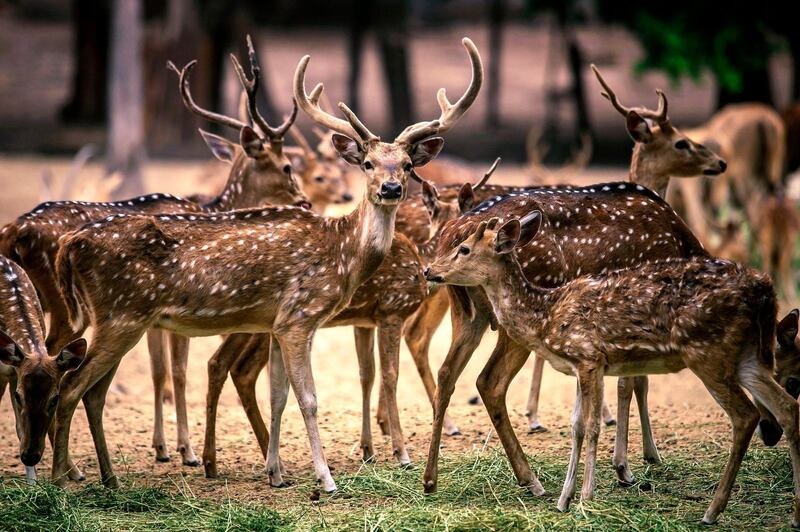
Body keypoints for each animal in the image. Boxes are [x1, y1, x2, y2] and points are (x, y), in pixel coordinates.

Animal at [0, 256, 86, 484]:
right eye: (19, 397)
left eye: (55, 398)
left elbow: (20, 429)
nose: (30, 456)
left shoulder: (14, 373)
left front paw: (32, 484)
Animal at [40, 37, 482, 490]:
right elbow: (309, 398)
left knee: (92, 391)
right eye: (368, 164)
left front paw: (277, 473)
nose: (391, 188)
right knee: (72, 385)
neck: (341, 254)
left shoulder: (275, 323)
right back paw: (61, 478)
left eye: (407, 165)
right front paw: (325, 478)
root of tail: (71, 245)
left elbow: (277, 394)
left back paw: (108, 478)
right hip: (120, 315)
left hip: (118, 318)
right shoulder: (299, 317)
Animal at [422, 65, 736, 494]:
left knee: (447, 374)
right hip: (514, 316)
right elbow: (631, 382)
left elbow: (631, 380)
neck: (684, 242)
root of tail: (450, 232)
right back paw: (531, 479)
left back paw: (431, 478)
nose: (720, 163)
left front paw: (637, 459)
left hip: (467, 311)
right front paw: (628, 466)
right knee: (489, 381)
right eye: (683, 142)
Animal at [424, 214, 800, 524]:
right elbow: (576, 425)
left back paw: (712, 511)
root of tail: (765, 291)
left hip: (709, 351)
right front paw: (565, 500)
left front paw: (586, 497)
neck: (546, 316)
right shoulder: (584, 365)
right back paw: (793, 511)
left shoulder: (588, 356)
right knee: (787, 409)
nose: (429, 270)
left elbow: (591, 426)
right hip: (747, 357)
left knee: (746, 415)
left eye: (464, 248)